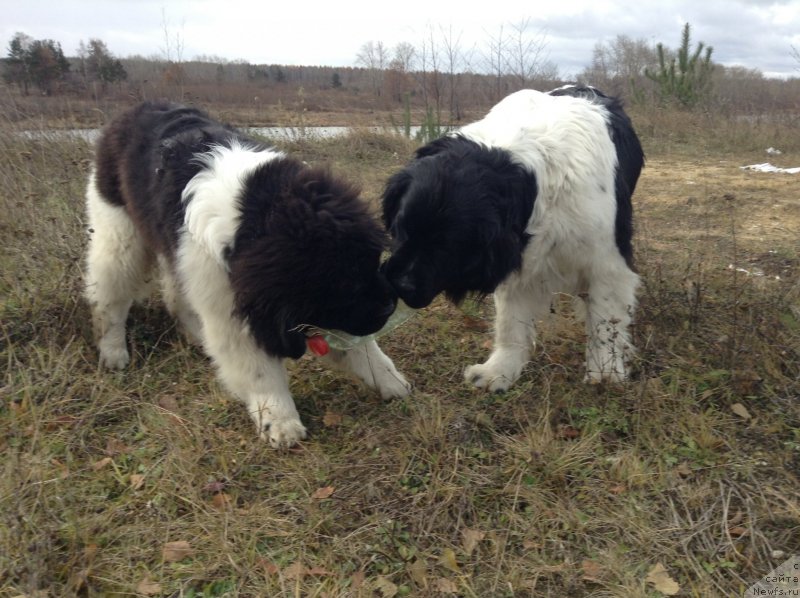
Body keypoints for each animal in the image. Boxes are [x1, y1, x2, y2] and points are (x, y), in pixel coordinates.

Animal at [85, 103, 410, 448]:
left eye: (372, 263)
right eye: (345, 283)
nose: (390, 305)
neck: (256, 214)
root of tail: (136, 109)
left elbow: (359, 346)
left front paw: (388, 379)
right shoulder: (232, 301)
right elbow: (258, 370)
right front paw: (279, 419)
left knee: (176, 295)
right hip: (119, 234)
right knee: (110, 295)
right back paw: (113, 349)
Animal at [382, 85, 644, 394]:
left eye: (448, 247)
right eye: (400, 228)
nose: (400, 285)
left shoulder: (608, 262)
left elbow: (606, 321)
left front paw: (606, 372)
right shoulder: (518, 259)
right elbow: (511, 322)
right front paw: (500, 370)